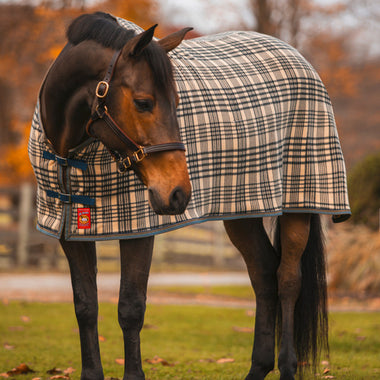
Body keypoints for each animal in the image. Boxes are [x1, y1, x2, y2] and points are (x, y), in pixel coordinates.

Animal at [31, 10, 352, 380]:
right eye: (143, 102)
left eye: (177, 103)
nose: (178, 193)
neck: (70, 152)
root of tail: (298, 58)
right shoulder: (70, 229)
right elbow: (85, 305)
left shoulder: (139, 229)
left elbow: (131, 307)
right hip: (241, 211)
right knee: (263, 273)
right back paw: (258, 368)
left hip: (299, 202)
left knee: (287, 278)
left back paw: (287, 366)